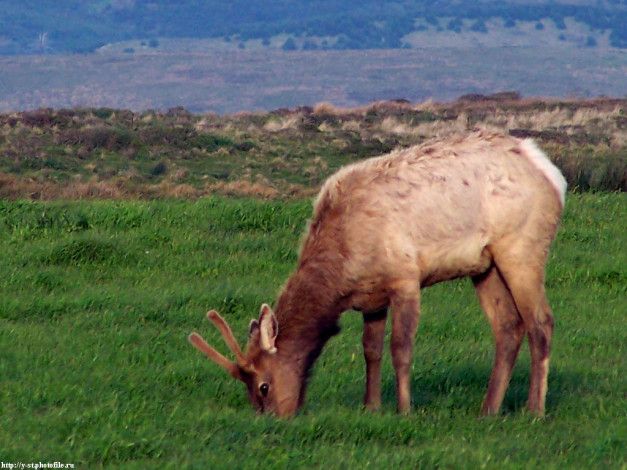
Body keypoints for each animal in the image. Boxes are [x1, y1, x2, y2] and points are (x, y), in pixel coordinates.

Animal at [189, 130, 568, 416]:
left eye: (263, 386)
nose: (273, 418)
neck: (343, 271)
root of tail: (551, 173)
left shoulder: (405, 278)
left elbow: (401, 348)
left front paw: (404, 409)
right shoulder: (371, 297)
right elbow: (371, 349)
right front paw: (370, 406)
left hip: (522, 246)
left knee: (541, 322)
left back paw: (534, 410)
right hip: (484, 265)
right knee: (508, 327)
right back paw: (488, 409)